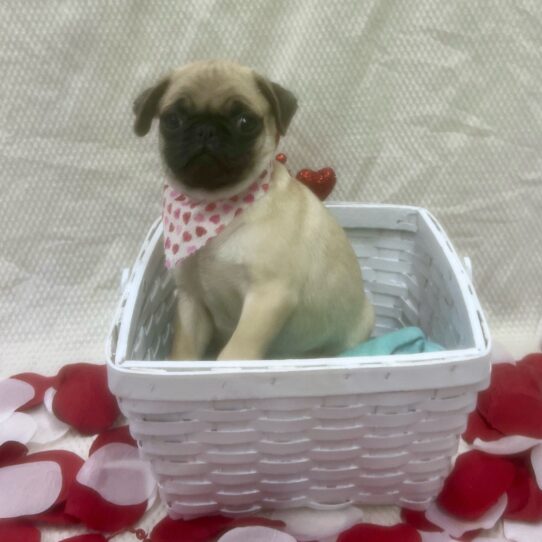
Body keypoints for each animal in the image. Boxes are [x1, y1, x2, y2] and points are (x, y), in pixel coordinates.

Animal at [134, 60, 376, 362]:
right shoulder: (191, 301)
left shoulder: (268, 295)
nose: (205, 129)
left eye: (245, 122)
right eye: (172, 120)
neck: (212, 207)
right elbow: (184, 352)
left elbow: (235, 353)